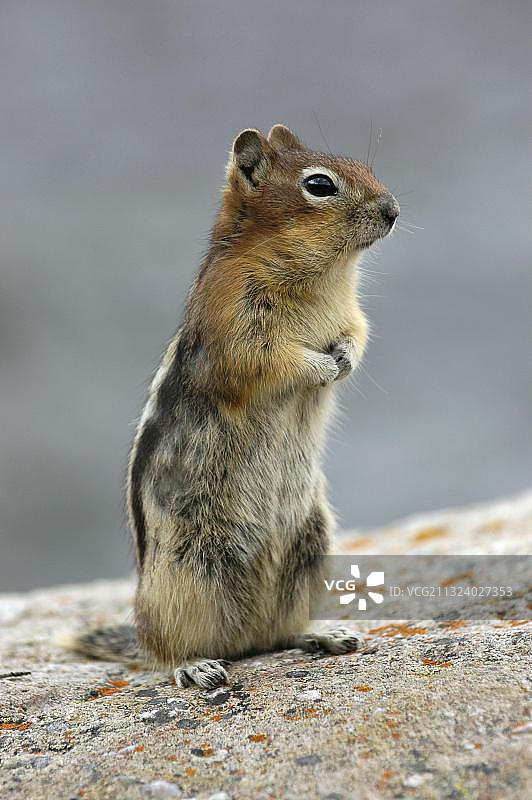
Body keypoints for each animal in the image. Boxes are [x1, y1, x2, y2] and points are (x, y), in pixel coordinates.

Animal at [68, 125, 396, 688]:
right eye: (319, 185)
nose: (393, 209)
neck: (322, 277)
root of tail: (239, 642)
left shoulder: (351, 315)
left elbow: (358, 334)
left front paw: (345, 359)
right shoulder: (235, 325)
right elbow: (266, 361)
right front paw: (322, 367)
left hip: (311, 549)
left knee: (276, 633)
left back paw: (323, 635)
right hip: (185, 578)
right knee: (162, 649)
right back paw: (195, 666)